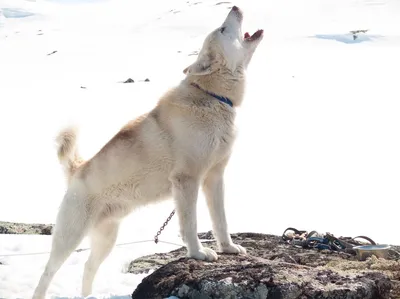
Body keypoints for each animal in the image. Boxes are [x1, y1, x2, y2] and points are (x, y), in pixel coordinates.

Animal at [32, 5, 264, 298]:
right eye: (223, 29)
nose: (234, 7)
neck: (212, 97)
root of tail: (78, 170)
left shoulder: (214, 178)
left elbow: (220, 220)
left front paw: (228, 248)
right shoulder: (187, 181)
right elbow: (191, 225)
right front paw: (199, 253)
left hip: (107, 237)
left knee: (88, 267)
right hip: (70, 236)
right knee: (47, 272)